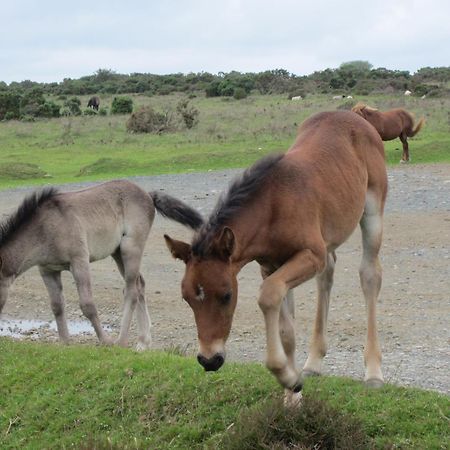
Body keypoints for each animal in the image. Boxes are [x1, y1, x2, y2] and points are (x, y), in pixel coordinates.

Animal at [164, 110, 386, 404]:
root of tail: (354, 115)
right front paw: (293, 392)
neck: (273, 206)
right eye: (186, 298)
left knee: (369, 275)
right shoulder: (271, 266)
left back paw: (373, 373)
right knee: (327, 274)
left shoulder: (310, 255)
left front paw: (285, 375)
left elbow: (268, 296)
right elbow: (286, 329)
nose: (209, 360)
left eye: (227, 295)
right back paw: (313, 363)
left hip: (372, 211)